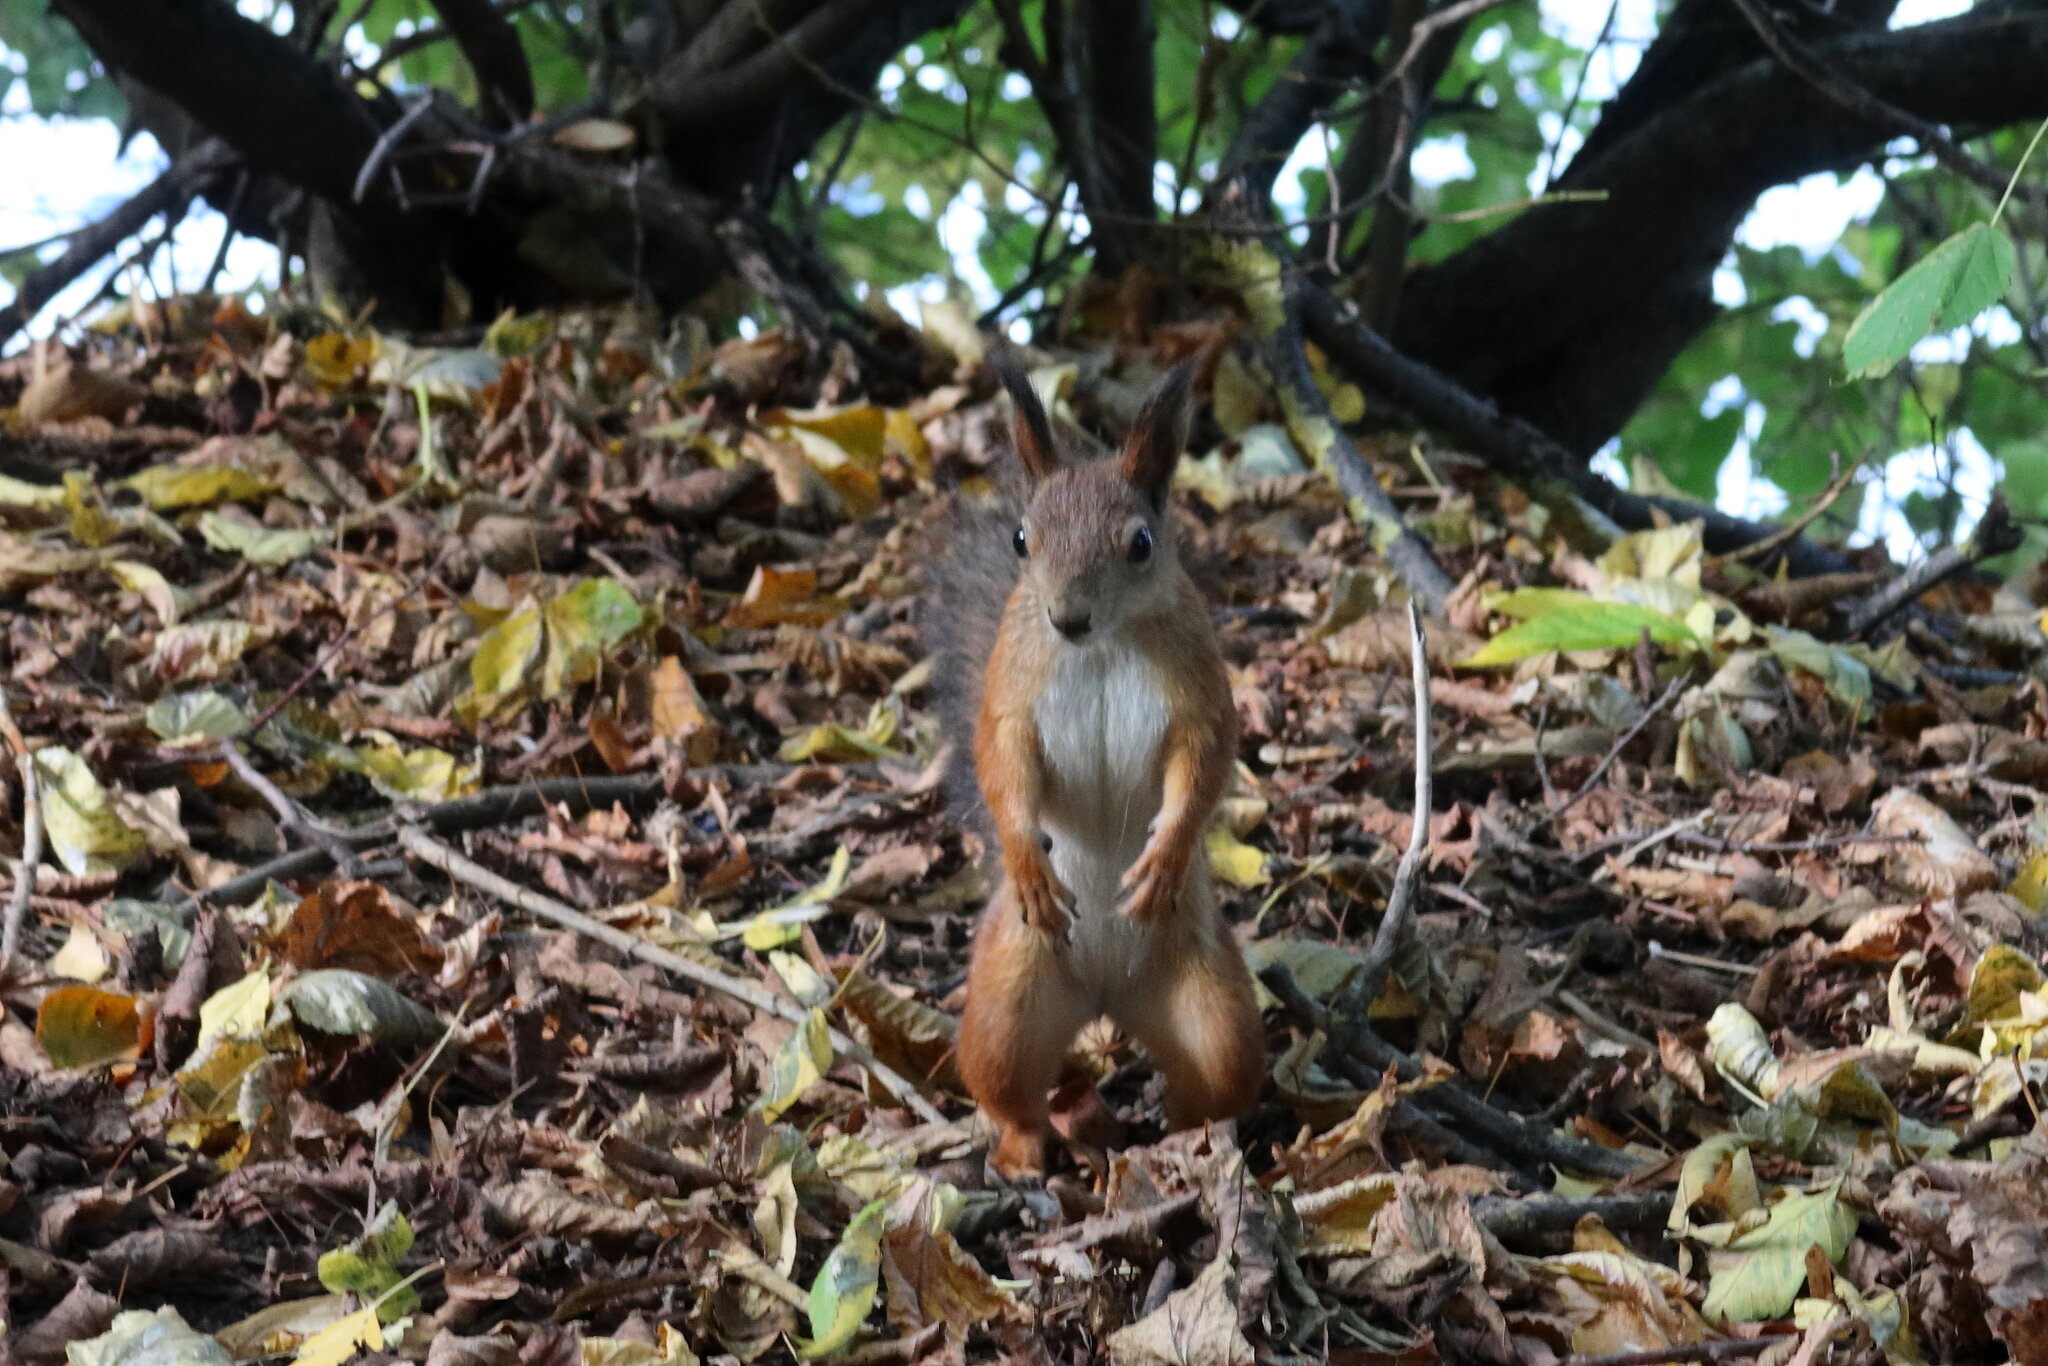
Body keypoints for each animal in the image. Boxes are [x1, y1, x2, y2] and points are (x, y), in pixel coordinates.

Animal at [925, 357, 1265, 1181]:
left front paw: (1165, 855)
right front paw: (1028, 859)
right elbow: (1002, 760)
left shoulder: (1200, 691)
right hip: (1010, 998)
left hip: (1211, 1008)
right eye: (1021, 539)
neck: (1104, 643)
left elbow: (1204, 762)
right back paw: (1024, 1151)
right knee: (1007, 1088)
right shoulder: (1012, 691)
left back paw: (1185, 1142)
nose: (1066, 618)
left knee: (1216, 1082)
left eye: (1141, 543)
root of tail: (1107, 1000)